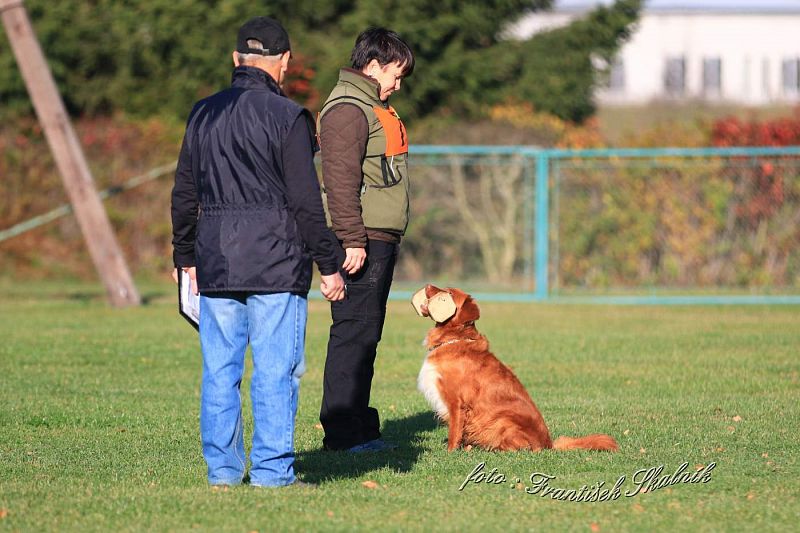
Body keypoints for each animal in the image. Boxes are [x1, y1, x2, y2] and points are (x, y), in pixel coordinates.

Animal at [412, 284, 620, 450]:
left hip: (503, 420)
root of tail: (549, 444)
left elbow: (454, 431)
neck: (454, 339)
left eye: (448, 293)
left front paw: (451, 452)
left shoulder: (457, 402)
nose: (428, 285)